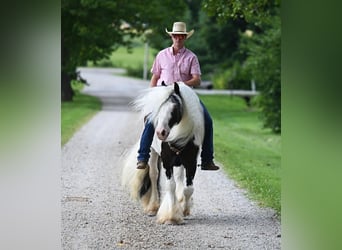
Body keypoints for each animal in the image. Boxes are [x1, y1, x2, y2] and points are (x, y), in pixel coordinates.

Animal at [121, 82, 204, 225]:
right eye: (159, 109)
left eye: (175, 108)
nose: (160, 132)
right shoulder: (167, 161)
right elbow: (170, 185)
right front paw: (171, 217)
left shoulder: (191, 162)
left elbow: (188, 189)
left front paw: (184, 210)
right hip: (153, 153)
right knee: (154, 175)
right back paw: (153, 207)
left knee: (179, 177)